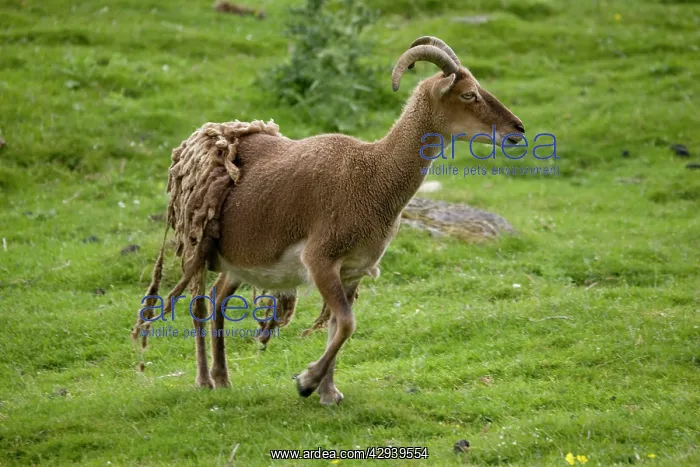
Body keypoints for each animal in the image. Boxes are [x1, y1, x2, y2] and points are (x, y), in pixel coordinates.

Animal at [132, 36, 525, 405]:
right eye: (469, 94)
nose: (517, 130)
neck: (373, 174)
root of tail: (200, 137)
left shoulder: (352, 270)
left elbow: (338, 325)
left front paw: (328, 392)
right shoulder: (320, 259)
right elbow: (348, 323)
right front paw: (307, 382)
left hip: (239, 259)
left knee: (217, 298)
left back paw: (223, 377)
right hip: (198, 243)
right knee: (198, 302)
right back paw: (204, 380)